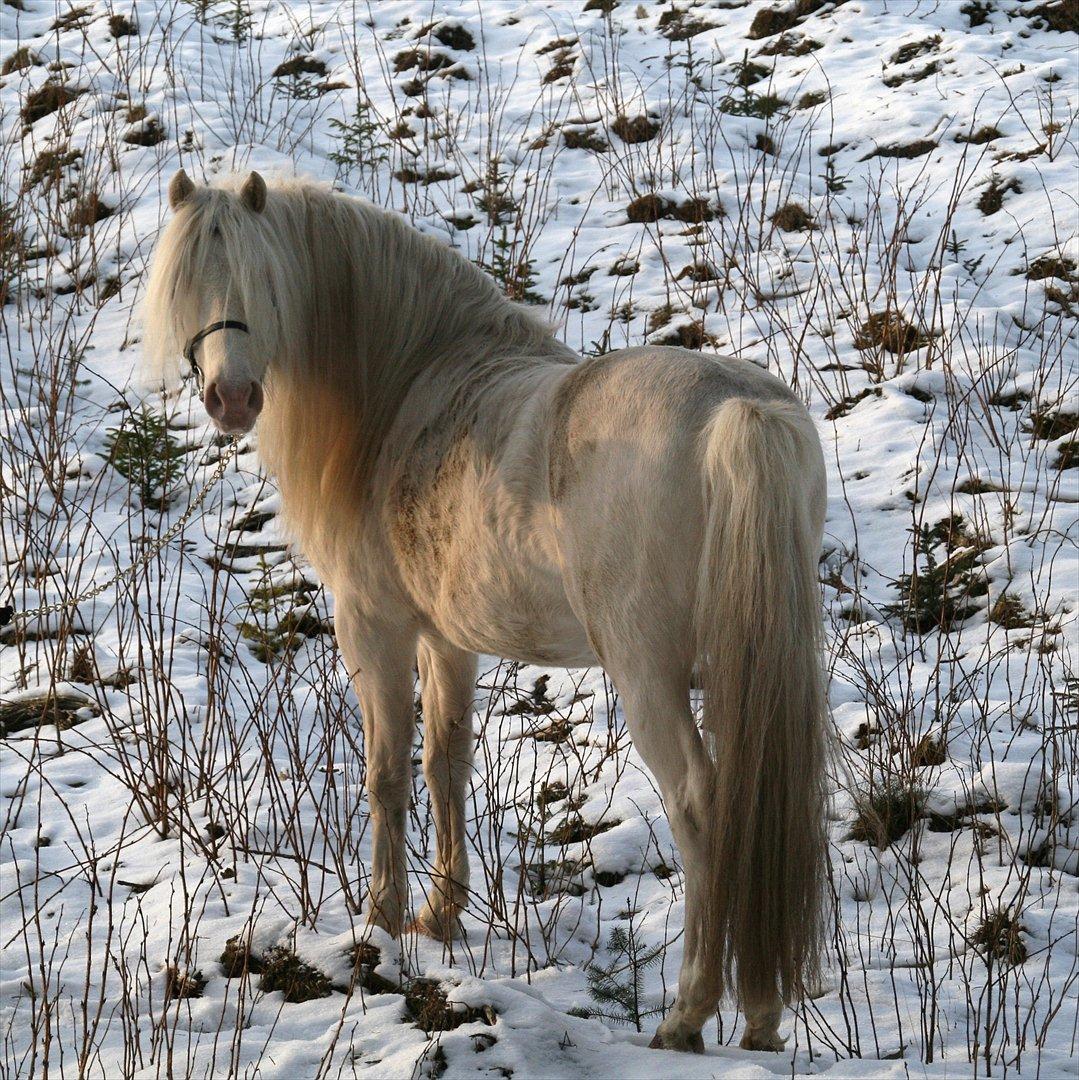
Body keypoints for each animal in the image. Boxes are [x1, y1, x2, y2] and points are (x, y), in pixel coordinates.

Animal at [141, 170, 825, 1054]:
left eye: (264, 278)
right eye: (190, 284)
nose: (230, 397)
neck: (406, 387)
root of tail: (738, 414)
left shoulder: (375, 627)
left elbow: (387, 774)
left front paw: (380, 920)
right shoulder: (448, 641)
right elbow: (447, 763)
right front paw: (438, 915)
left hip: (650, 675)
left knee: (701, 805)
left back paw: (686, 1015)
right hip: (755, 669)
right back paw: (762, 1021)